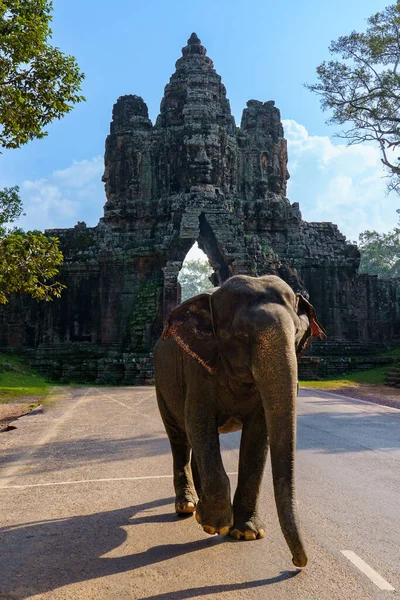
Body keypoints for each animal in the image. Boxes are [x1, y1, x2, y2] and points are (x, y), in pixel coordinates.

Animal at [153, 276, 324, 568]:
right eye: (241, 336)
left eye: (296, 336)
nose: (298, 563)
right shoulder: (198, 369)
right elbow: (198, 422)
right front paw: (213, 524)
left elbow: (258, 435)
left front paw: (246, 533)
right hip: (161, 386)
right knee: (180, 438)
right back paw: (187, 506)